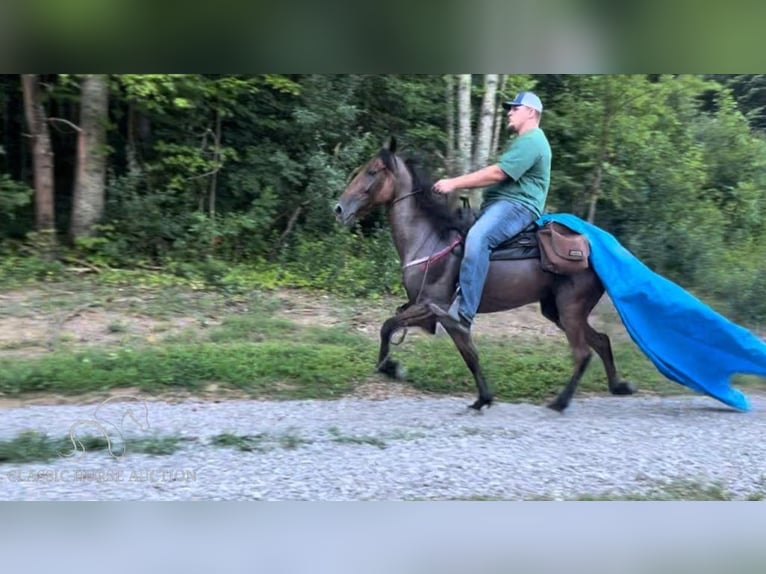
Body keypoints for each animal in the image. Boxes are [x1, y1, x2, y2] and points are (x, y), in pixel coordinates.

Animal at [334, 141, 636, 414]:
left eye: (373, 171)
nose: (339, 209)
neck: (429, 240)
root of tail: (592, 251)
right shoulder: (434, 314)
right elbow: (466, 352)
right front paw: (483, 397)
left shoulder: (434, 308)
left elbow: (390, 327)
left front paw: (391, 367)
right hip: (557, 310)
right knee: (601, 341)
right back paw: (618, 386)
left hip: (570, 310)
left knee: (583, 353)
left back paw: (560, 402)